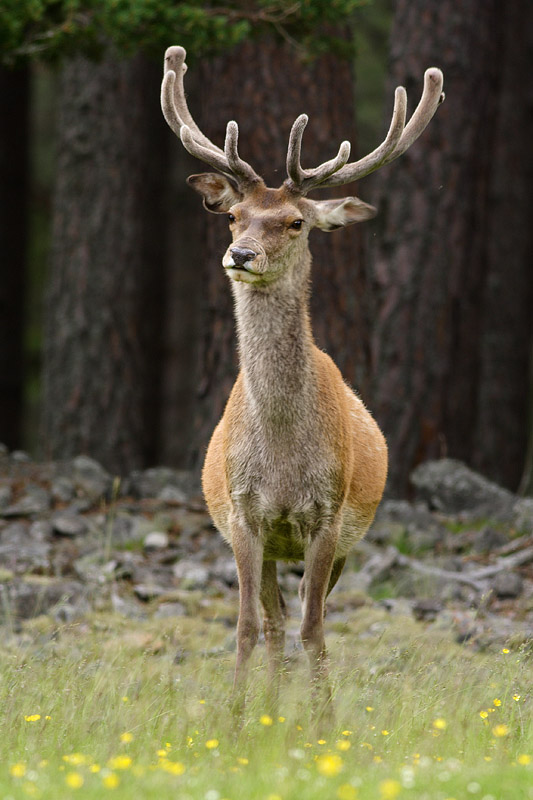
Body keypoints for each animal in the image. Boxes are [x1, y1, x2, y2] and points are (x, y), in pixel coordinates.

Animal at [161, 45, 444, 714]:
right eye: (234, 216)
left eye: (294, 223)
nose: (240, 255)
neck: (285, 458)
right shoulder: (244, 515)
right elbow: (244, 625)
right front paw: (238, 720)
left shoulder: (327, 515)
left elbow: (317, 629)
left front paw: (322, 721)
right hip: (267, 545)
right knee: (273, 622)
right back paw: (267, 709)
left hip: (343, 540)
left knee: (303, 618)